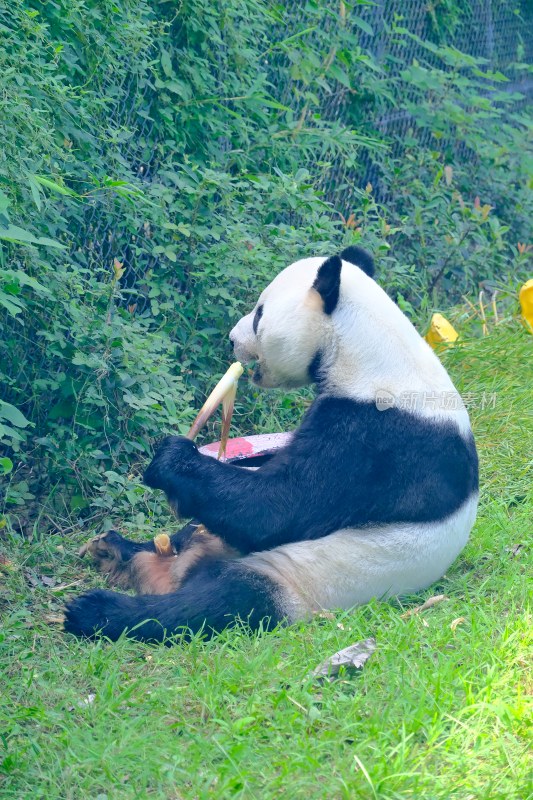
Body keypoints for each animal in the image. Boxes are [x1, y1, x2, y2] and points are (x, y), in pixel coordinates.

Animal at [63, 250, 478, 644]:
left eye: (260, 314)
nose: (231, 339)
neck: (371, 353)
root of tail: (178, 572)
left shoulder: (378, 439)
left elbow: (279, 506)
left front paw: (171, 459)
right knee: (188, 538)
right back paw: (116, 549)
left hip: (299, 578)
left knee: (220, 603)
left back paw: (98, 611)